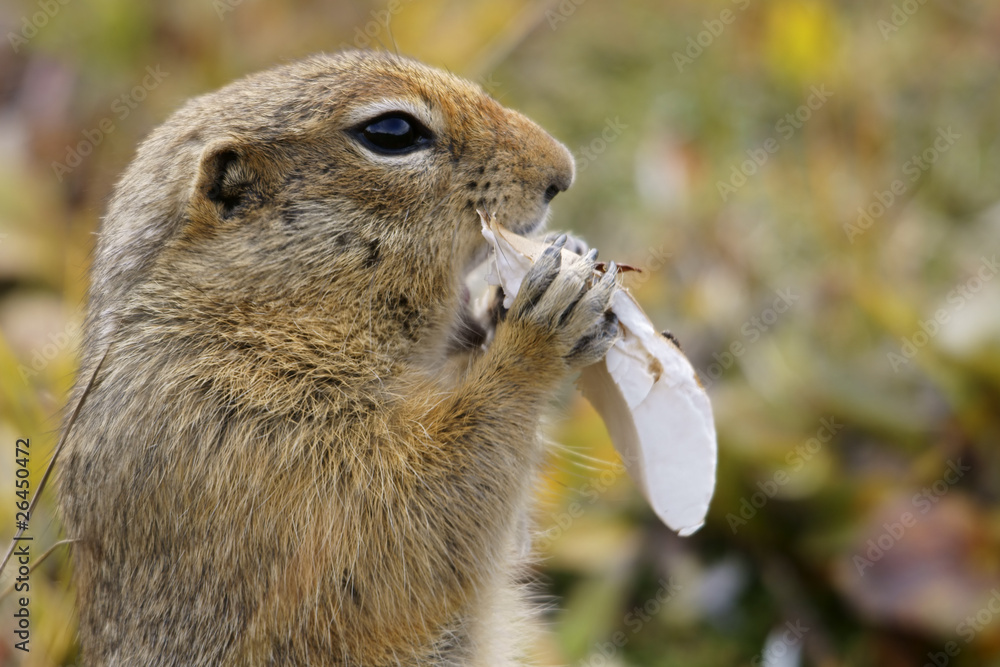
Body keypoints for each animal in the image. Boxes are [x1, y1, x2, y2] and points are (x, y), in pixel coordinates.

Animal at [57, 50, 619, 666]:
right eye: (392, 131)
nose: (561, 172)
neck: (258, 312)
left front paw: (558, 262)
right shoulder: (254, 435)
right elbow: (415, 521)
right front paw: (541, 325)